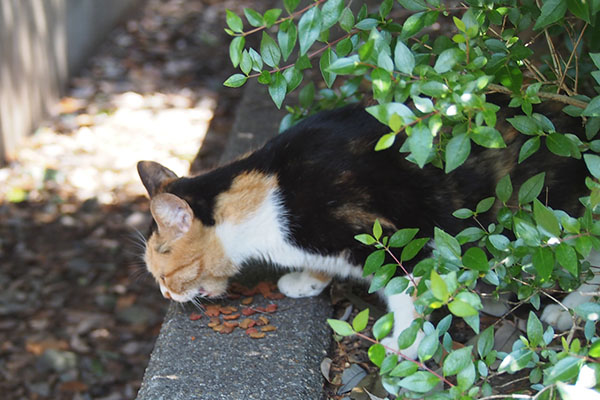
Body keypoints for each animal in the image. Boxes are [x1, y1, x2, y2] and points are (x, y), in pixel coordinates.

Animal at [138, 94, 588, 360]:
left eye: (164, 273)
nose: (164, 294)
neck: (266, 201)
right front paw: (307, 280)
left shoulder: (396, 235)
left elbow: (408, 291)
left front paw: (408, 345)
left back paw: (571, 308)